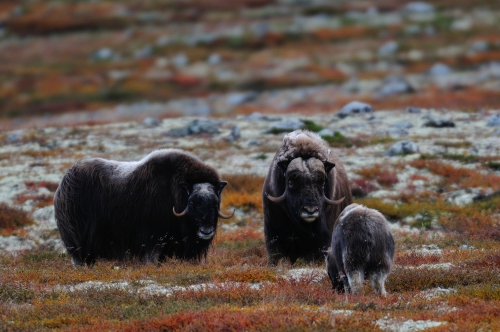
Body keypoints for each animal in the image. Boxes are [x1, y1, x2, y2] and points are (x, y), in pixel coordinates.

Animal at [53, 149, 233, 266]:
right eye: (192, 202)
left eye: (215, 202)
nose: (206, 231)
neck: (174, 193)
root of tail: (64, 183)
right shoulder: (153, 236)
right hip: (77, 236)